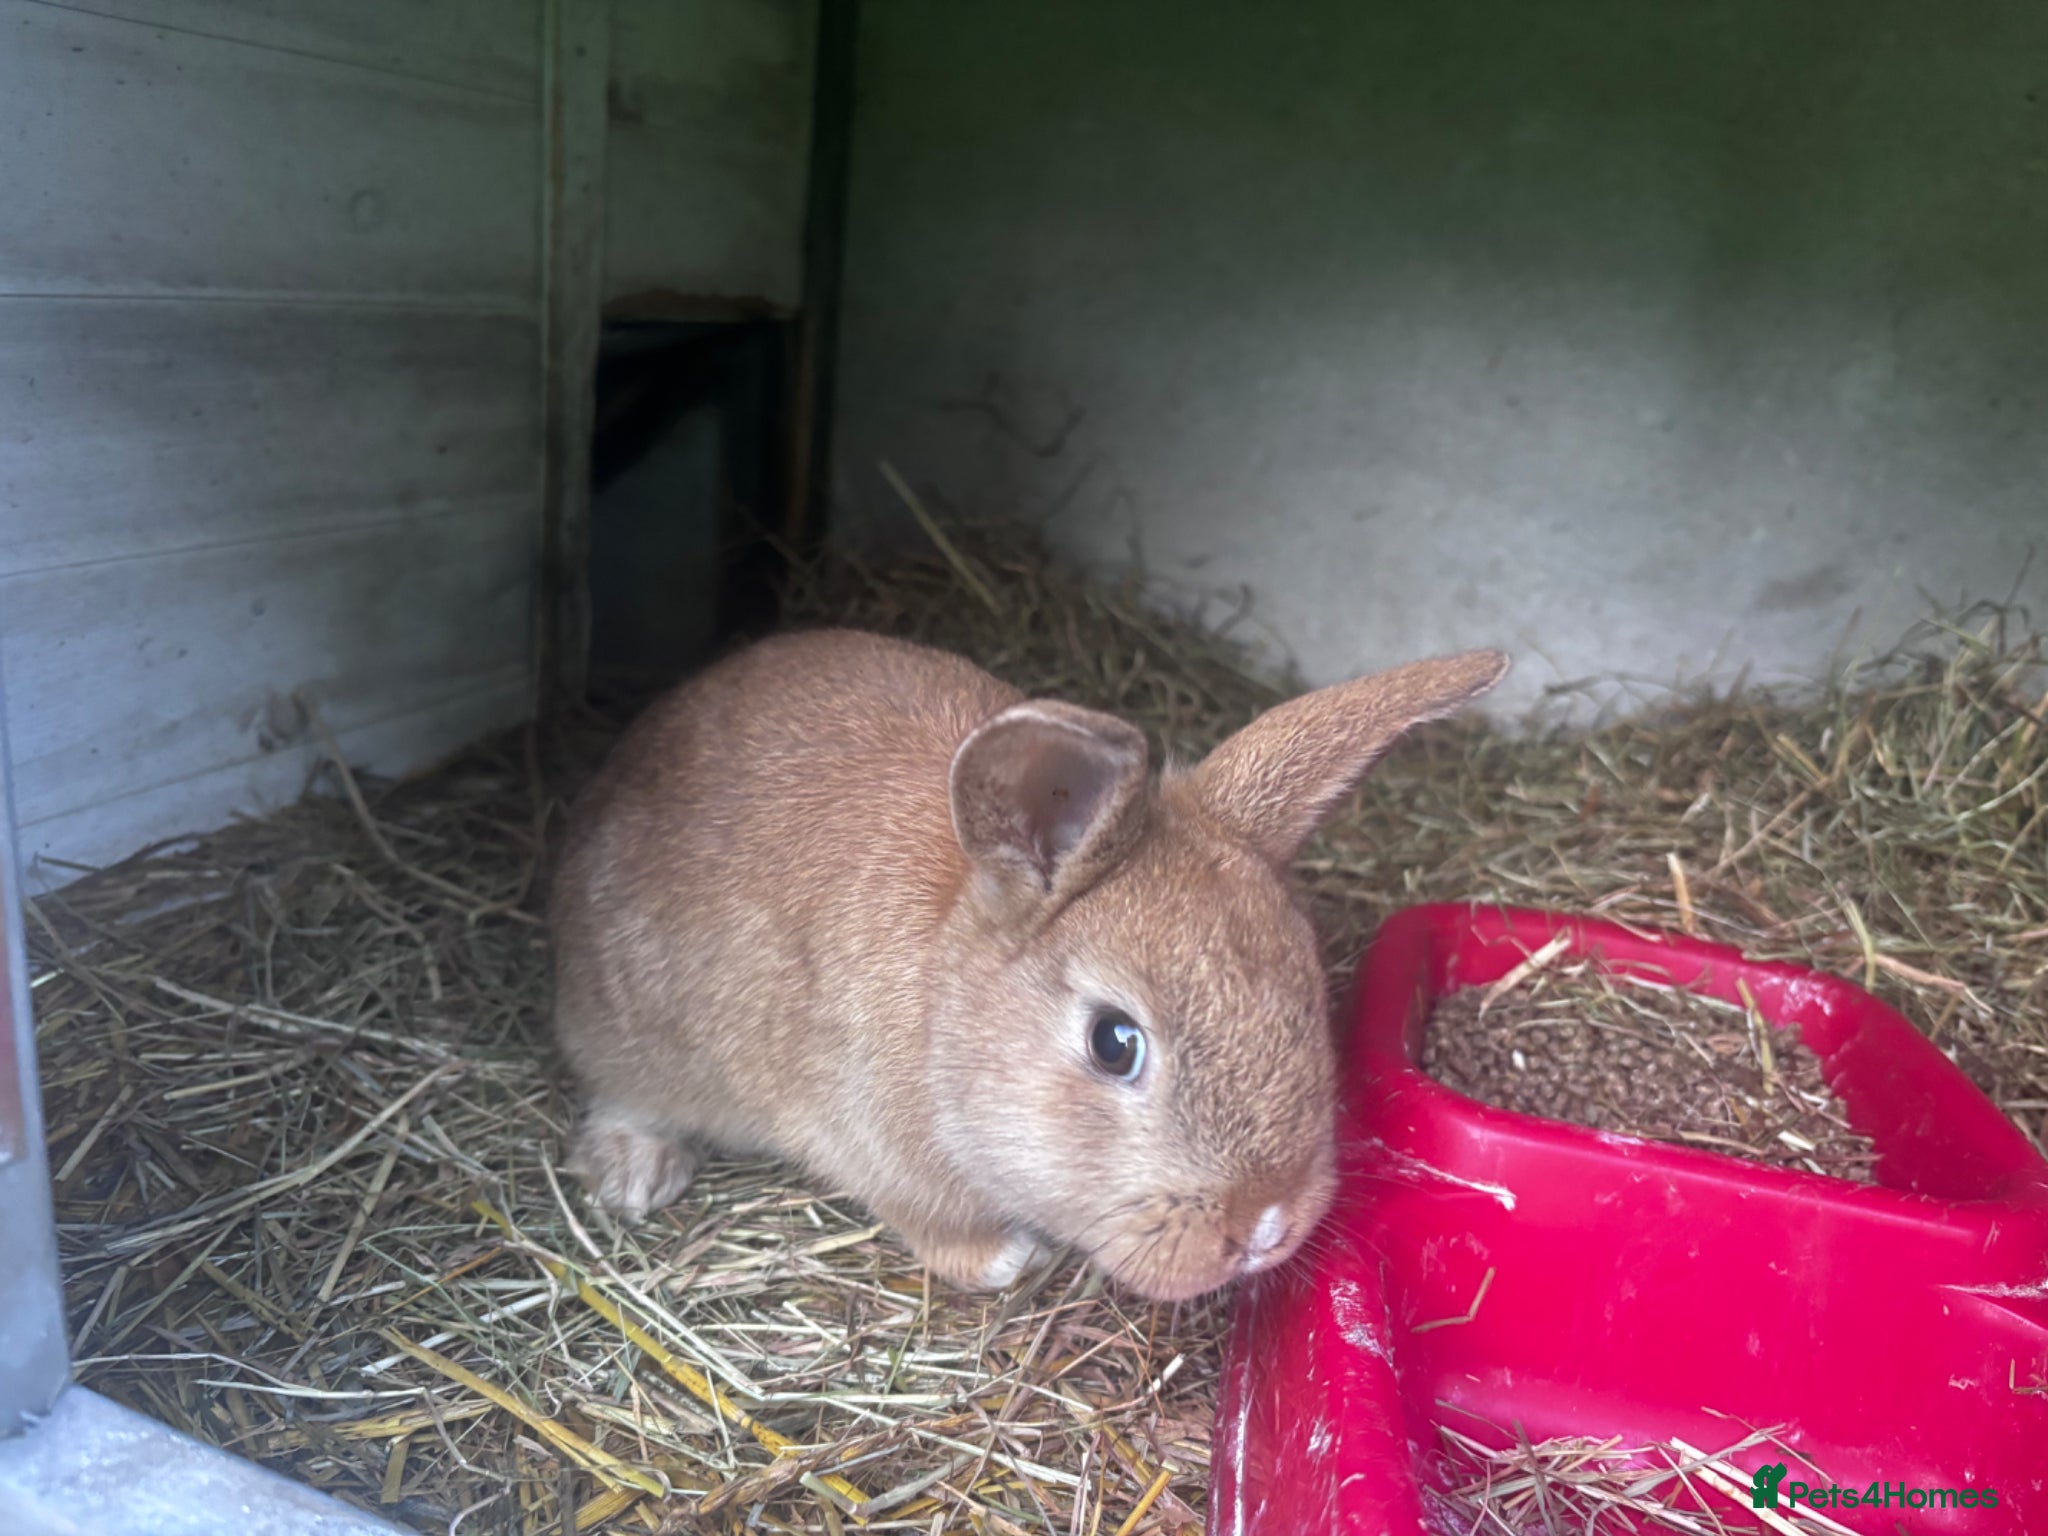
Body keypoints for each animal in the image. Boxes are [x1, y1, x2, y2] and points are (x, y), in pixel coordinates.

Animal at [548, 627, 1507, 1302]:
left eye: (1308, 992)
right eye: (1115, 1043)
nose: (1266, 1224)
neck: (947, 993)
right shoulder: (868, 1141)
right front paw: (1009, 1261)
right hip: (627, 1023)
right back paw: (637, 1174)